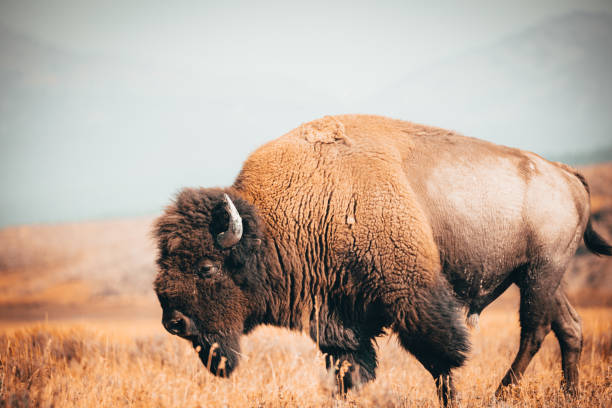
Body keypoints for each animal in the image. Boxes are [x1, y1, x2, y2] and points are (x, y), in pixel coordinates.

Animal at [154, 114, 612, 404]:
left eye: (206, 267)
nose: (174, 322)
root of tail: (564, 172)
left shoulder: (412, 297)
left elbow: (442, 358)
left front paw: (453, 398)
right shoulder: (339, 319)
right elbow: (349, 371)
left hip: (539, 274)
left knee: (534, 330)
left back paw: (503, 393)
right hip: (541, 277)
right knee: (569, 327)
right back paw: (569, 394)